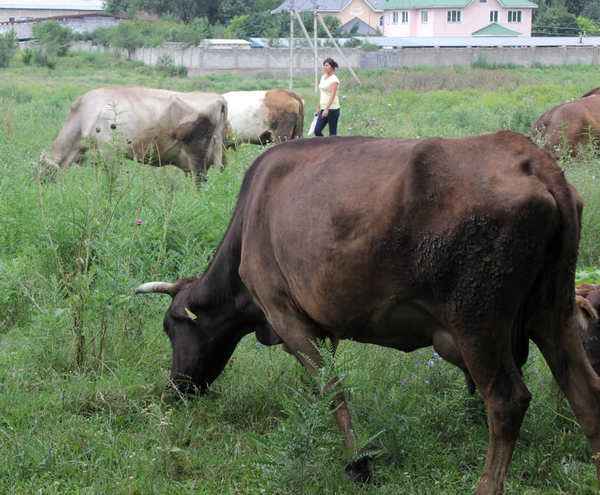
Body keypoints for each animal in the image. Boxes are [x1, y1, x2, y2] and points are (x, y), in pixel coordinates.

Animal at [136, 130, 600, 494]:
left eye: (172, 328)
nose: (175, 388)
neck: (251, 219)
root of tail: (534, 161)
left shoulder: (287, 317)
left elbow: (332, 389)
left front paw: (358, 461)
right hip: (553, 313)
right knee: (586, 392)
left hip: (477, 325)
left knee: (506, 401)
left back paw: (486, 484)